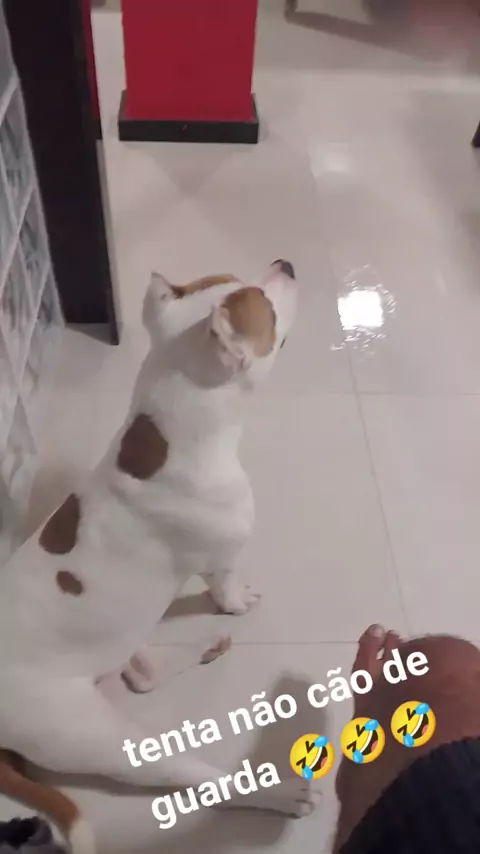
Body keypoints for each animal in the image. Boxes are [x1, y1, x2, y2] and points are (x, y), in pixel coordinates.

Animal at [0, 261, 316, 852]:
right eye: (263, 301)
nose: (284, 264)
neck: (168, 434)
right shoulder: (222, 560)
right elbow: (227, 590)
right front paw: (239, 603)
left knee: (141, 675)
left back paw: (203, 648)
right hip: (104, 744)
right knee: (196, 778)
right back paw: (281, 792)